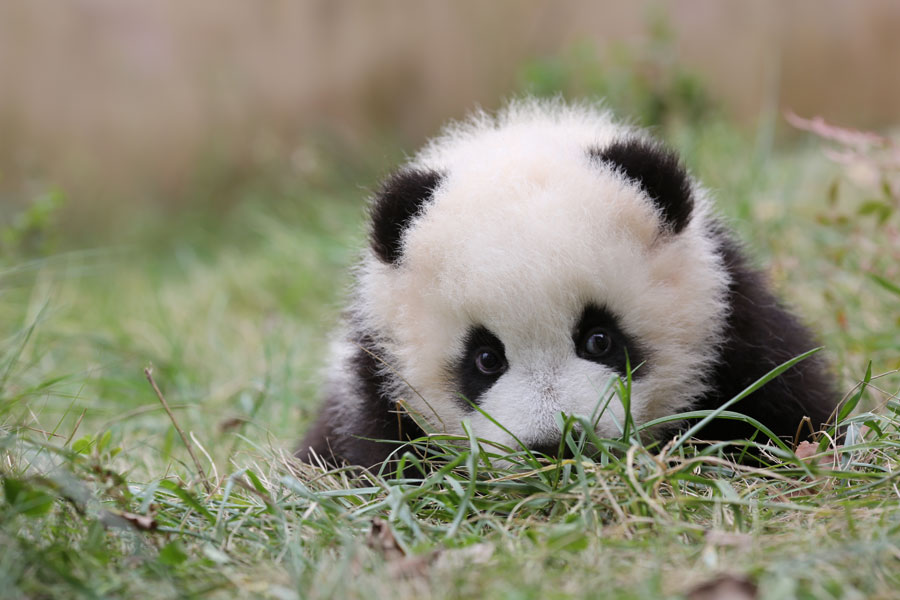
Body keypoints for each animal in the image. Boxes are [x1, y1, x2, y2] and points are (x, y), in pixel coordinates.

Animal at [298, 99, 837, 469]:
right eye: (486, 358)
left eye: (599, 339)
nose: (555, 445)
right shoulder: (372, 390)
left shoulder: (736, 327)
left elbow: (783, 411)